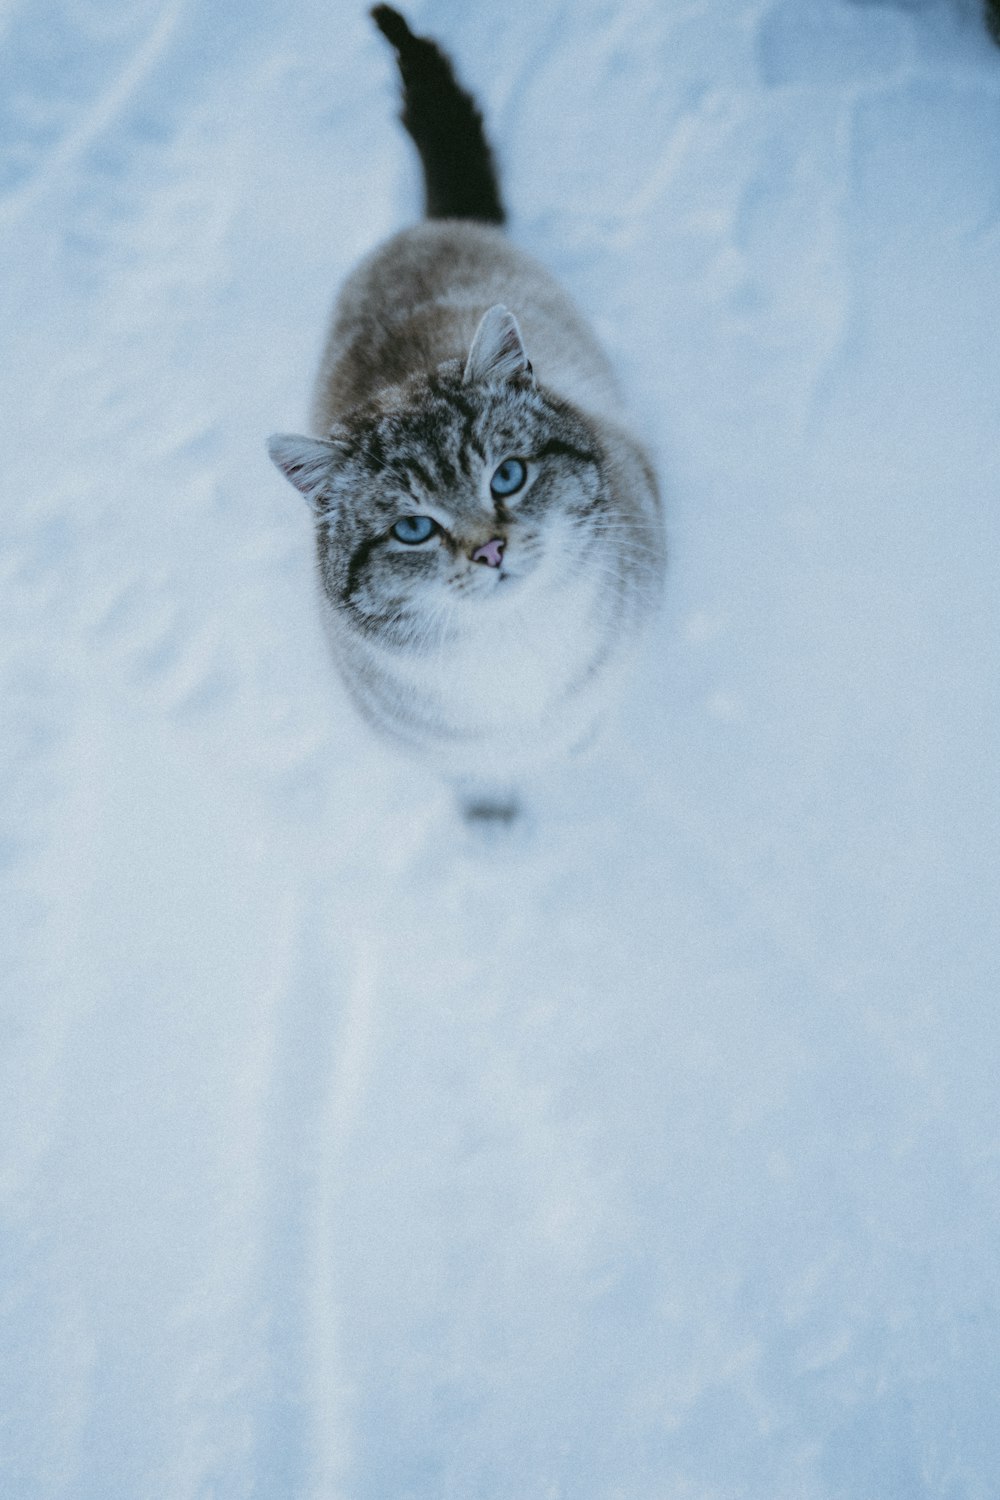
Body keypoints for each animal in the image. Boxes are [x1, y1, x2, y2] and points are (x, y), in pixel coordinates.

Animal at [269, 5, 668, 822]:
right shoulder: (445, 751)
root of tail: (431, 224)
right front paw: (494, 825)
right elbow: (482, 784)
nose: (490, 552)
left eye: (507, 477)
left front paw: (573, 754)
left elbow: (583, 724)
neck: (515, 658)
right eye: (412, 529)